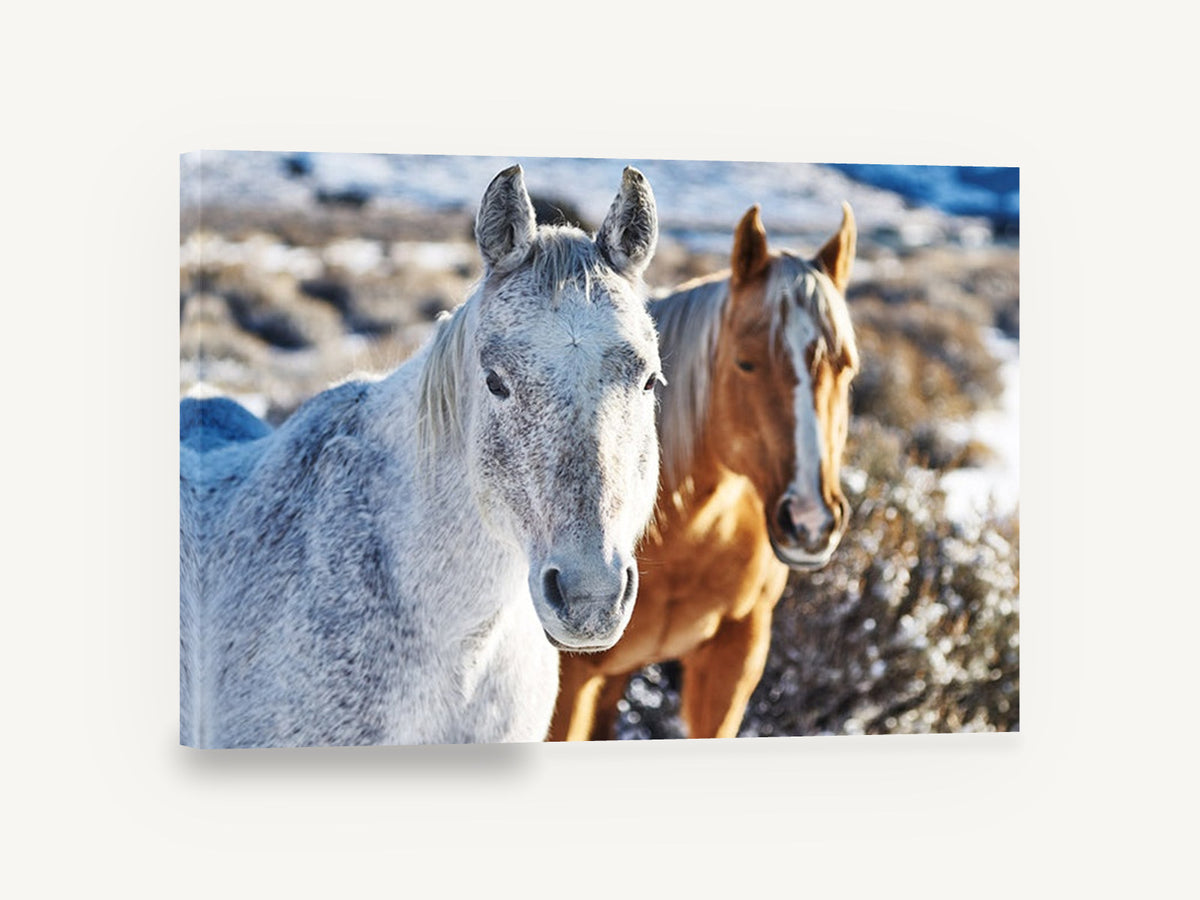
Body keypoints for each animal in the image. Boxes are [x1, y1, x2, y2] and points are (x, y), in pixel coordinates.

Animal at [549, 202, 860, 741]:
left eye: (845, 367)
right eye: (745, 363)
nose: (809, 522)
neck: (685, 536)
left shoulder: (735, 657)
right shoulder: (572, 680)